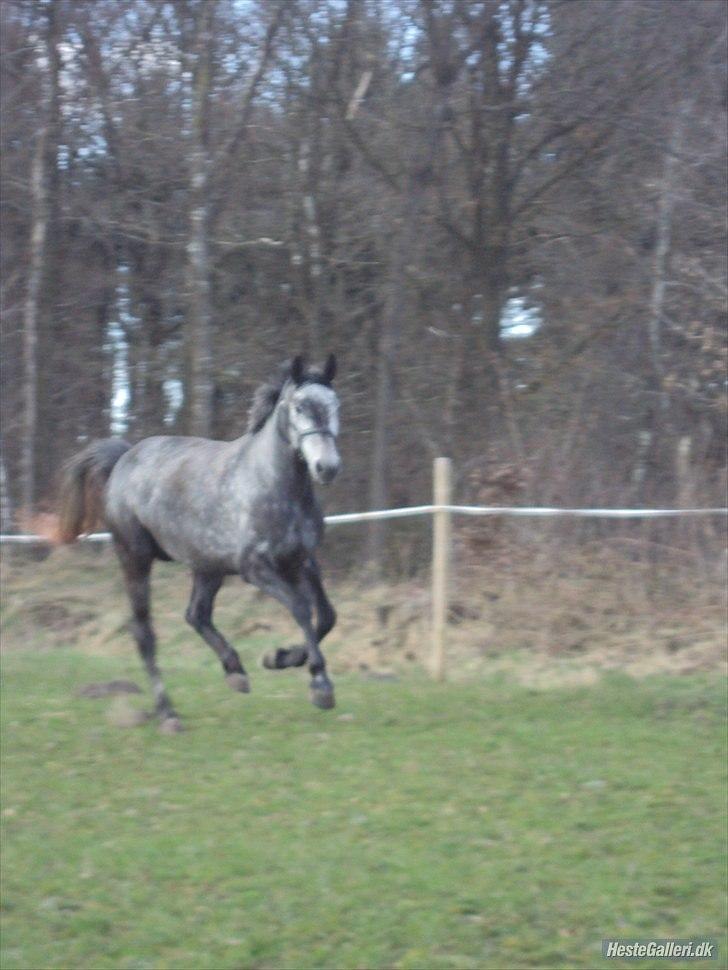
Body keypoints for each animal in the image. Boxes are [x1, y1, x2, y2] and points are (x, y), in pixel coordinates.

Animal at [57, 354, 342, 728]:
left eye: (335, 404)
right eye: (299, 406)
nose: (327, 467)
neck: (275, 486)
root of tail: (124, 459)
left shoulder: (302, 561)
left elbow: (326, 616)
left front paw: (280, 658)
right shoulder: (256, 568)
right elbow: (301, 608)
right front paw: (320, 685)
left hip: (207, 566)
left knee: (196, 615)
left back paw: (235, 672)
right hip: (134, 556)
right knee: (144, 632)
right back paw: (168, 713)